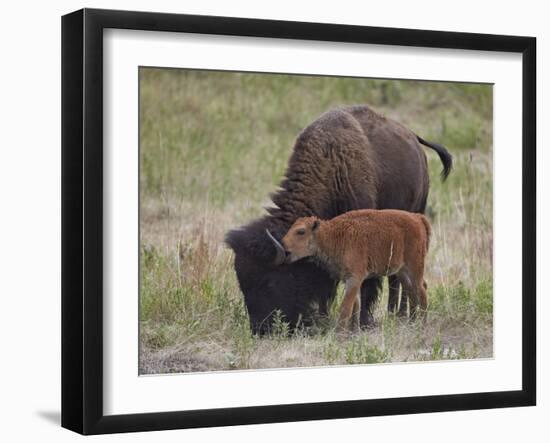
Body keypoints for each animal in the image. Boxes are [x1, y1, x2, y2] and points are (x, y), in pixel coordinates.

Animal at [282, 211, 434, 332]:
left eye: (301, 231)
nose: (284, 246)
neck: (332, 235)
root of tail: (418, 218)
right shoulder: (350, 280)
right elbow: (356, 306)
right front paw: (353, 330)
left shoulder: (354, 279)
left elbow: (345, 308)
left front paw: (340, 334)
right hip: (402, 271)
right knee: (413, 291)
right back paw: (412, 323)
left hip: (414, 267)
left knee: (421, 291)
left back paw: (423, 325)